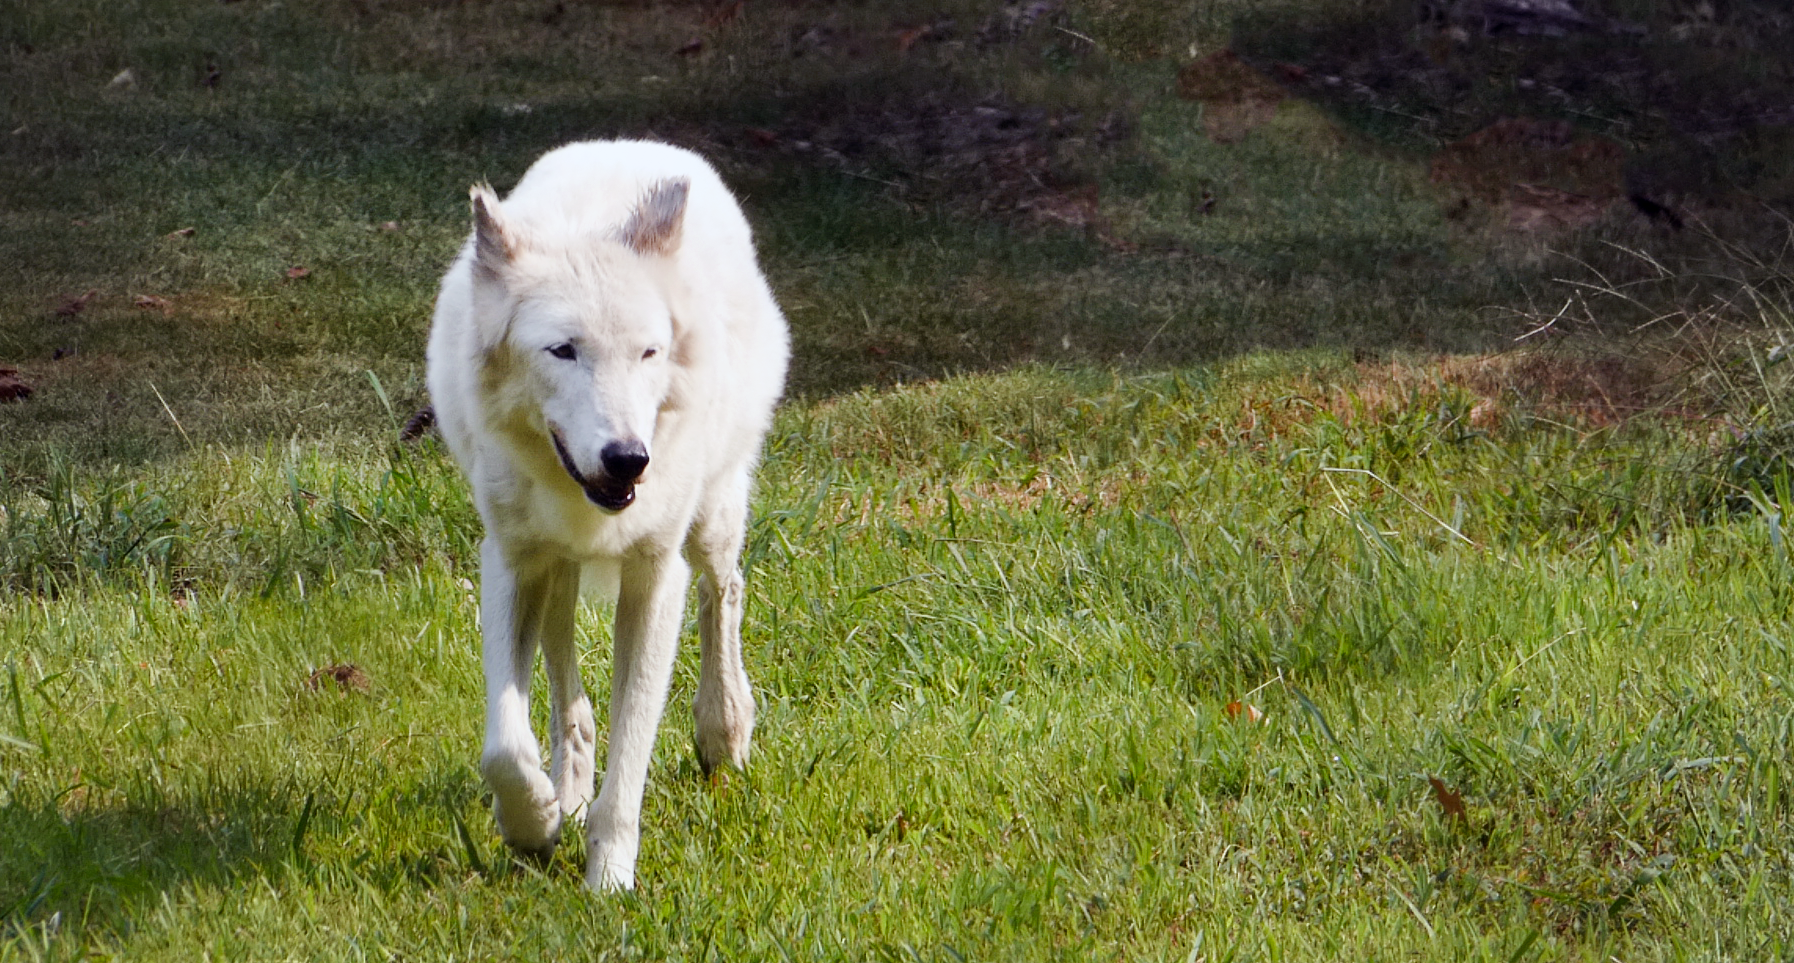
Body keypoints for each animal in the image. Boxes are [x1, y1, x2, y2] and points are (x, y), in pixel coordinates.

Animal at [424, 140, 790, 892]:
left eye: (649, 352)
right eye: (563, 350)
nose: (628, 460)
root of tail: (638, 142)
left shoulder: (654, 577)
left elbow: (634, 747)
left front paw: (610, 879)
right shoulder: (510, 562)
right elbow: (505, 745)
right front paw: (534, 821)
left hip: (711, 520)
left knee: (724, 592)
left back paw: (723, 731)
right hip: (556, 576)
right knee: (570, 690)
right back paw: (565, 788)